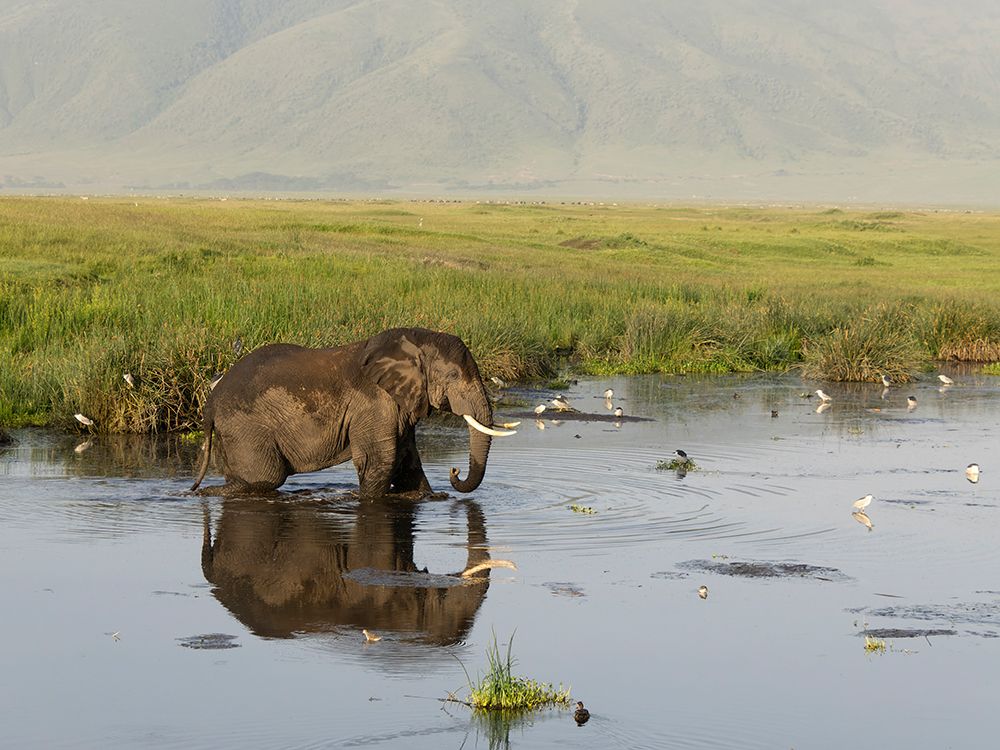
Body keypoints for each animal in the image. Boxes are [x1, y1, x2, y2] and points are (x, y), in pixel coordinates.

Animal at [190, 327, 515, 497]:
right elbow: (379, 460)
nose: (454, 471)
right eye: (453, 377)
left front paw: (431, 498)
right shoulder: (373, 403)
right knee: (265, 477)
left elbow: (407, 458)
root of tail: (210, 401)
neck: (413, 342)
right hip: (246, 427)